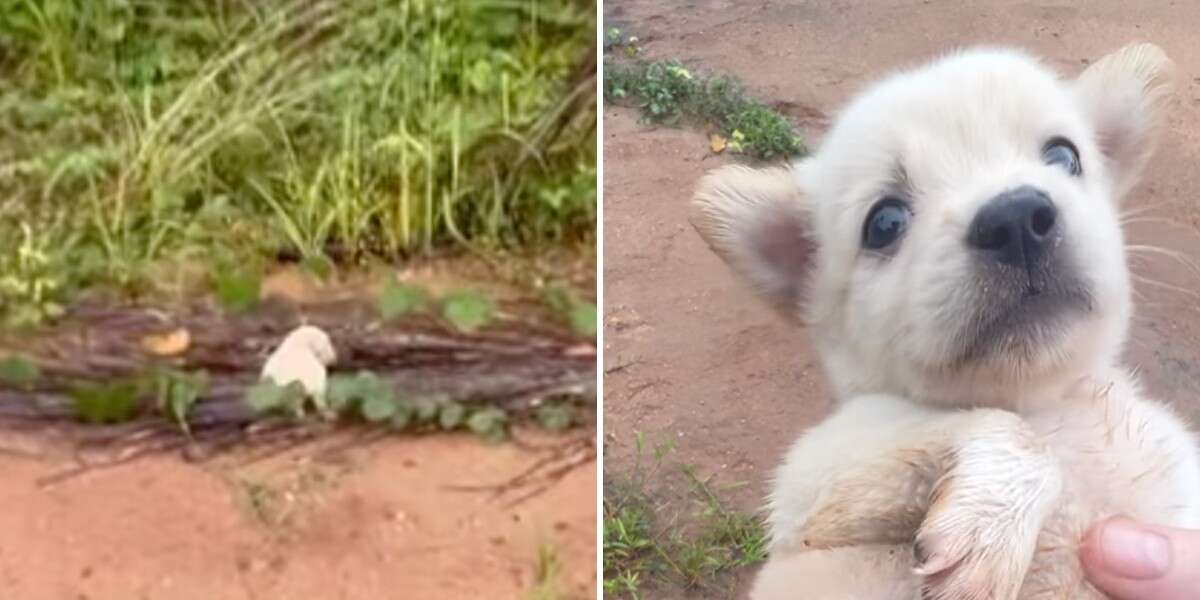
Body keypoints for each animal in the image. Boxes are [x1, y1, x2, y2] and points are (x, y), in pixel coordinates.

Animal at [691, 45, 1200, 600]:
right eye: (884, 223)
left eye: (1064, 157)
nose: (1016, 219)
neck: (1045, 403)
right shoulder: (815, 479)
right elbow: (1002, 430)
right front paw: (993, 518)